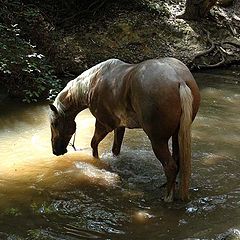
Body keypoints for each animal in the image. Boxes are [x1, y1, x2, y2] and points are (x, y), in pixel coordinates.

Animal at [49, 58, 201, 202]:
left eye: (55, 123)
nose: (56, 151)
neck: (92, 83)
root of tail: (179, 80)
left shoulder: (104, 124)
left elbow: (94, 144)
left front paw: (96, 162)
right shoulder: (120, 126)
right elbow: (116, 149)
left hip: (158, 140)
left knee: (170, 167)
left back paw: (167, 198)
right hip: (176, 135)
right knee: (177, 161)